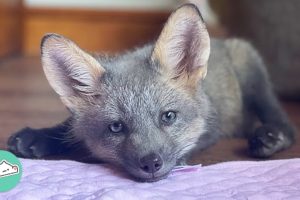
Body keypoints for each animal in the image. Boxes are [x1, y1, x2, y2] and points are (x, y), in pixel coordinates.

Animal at [7, 3, 296, 182]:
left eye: (168, 117)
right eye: (116, 127)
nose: (151, 164)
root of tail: (220, 40)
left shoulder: (211, 126)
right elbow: (69, 126)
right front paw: (40, 136)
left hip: (250, 67)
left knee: (284, 123)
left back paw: (271, 137)